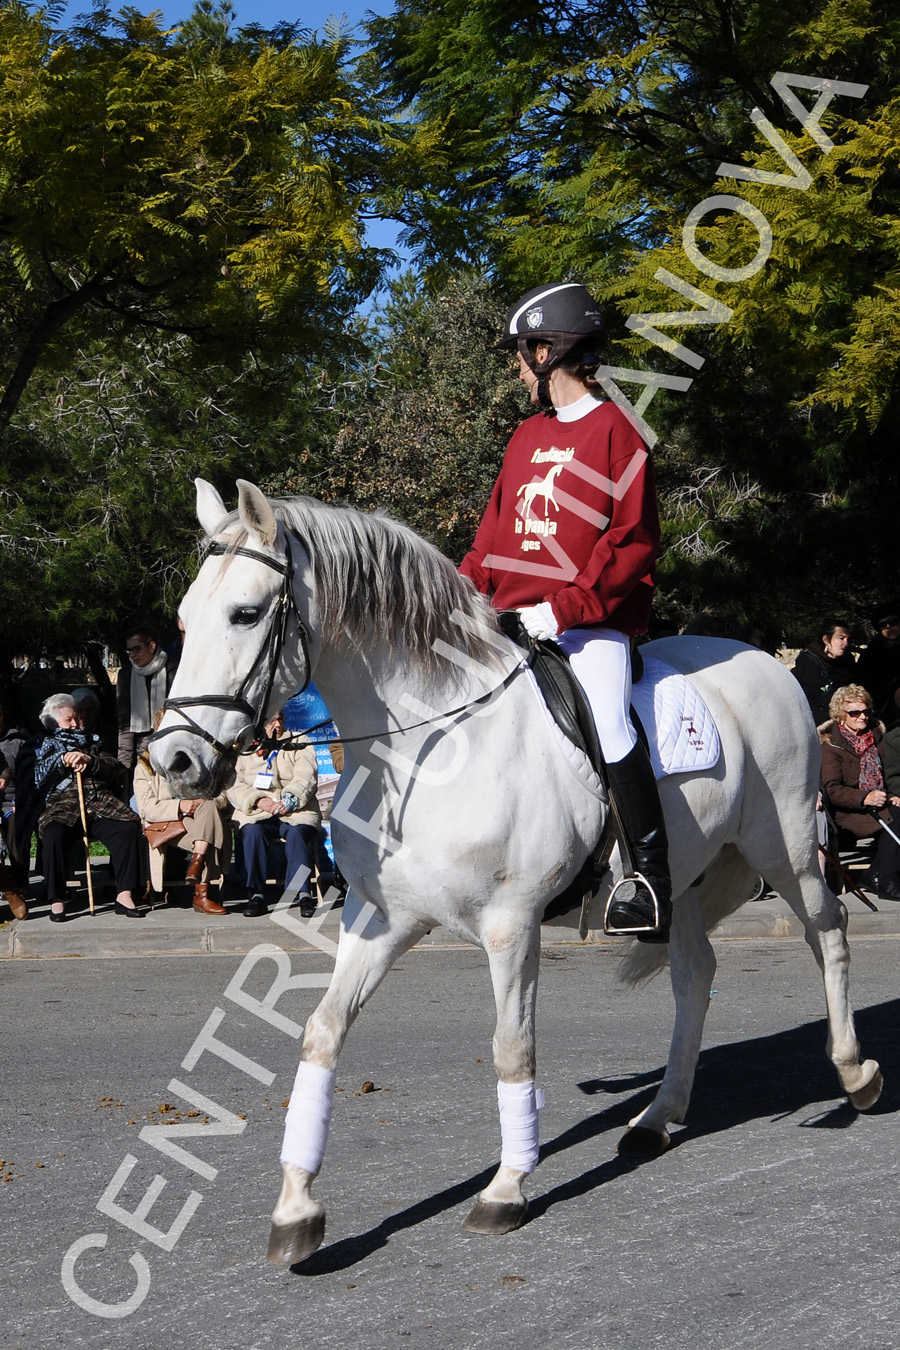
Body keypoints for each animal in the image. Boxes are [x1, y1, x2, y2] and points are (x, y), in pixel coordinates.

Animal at [153, 483, 879, 1263]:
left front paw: (506, 1189)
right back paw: (658, 1117)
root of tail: (763, 660)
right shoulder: (380, 919)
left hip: (789, 847)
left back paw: (854, 1075)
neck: (431, 743)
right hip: (682, 877)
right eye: (184, 618)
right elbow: (323, 1031)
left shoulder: (511, 926)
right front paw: (296, 1209)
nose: (174, 762)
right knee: (695, 975)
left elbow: (512, 1048)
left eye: (246, 613)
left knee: (829, 933)